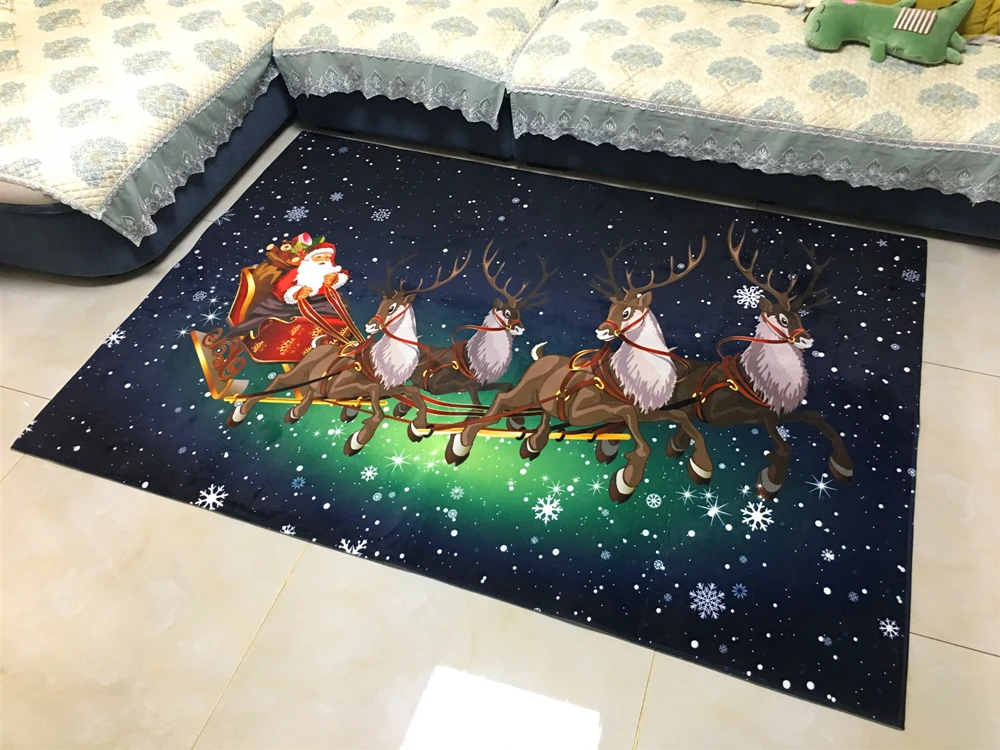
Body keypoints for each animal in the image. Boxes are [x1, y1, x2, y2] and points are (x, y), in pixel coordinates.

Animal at [226, 250, 473, 456]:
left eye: (392, 308)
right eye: (381, 303)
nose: (371, 325)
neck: (380, 363)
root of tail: (319, 346)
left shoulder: (391, 387)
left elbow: (414, 394)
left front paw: (418, 427)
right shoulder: (343, 385)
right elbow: (375, 399)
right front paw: (358, 440)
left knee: (313, 391)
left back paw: (296, 412)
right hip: (302, 370)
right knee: (280, 379)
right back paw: (239, 414)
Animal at [392, 243, 556, 430]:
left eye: (519, 313)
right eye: (507, 313)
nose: (520, 328)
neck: (475, 361)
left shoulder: (482, 383)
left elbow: (506, 385)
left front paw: (516, 421)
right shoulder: (437, 384)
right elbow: (475, 401)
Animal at [444, 237, 715, 503]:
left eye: (626, 312)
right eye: (610, 309)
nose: (601, 331)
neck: (624, 379)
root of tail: (541, 358)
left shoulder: (645, 410)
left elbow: (681, 418)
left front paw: (702, 468)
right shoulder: (580, 411)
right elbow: (633, 427)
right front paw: (625, 482)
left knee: (544, 412)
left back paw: (534, 443)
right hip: (526, 391)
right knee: (502, 399)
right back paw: (460, 446)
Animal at [664, 223, 854, 499]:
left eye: (800, 317)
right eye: (783, 320)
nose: (807, 340)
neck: (755, 381)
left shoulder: (778, 411)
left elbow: (815, 415)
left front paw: (843, 466)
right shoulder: (719, 412)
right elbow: (780, 441)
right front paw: (770, 481)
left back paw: (676, 445)